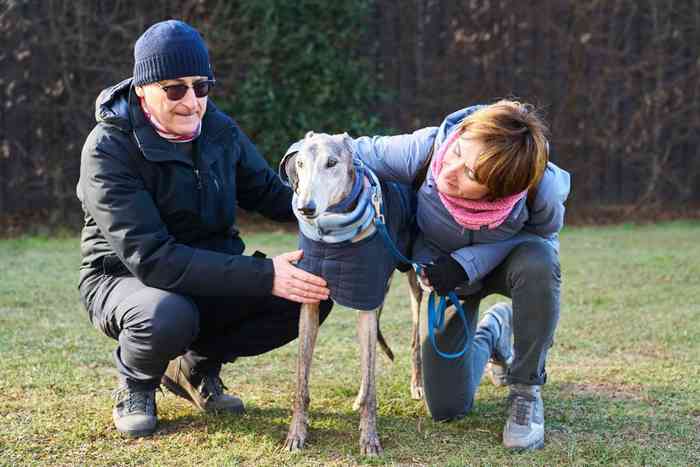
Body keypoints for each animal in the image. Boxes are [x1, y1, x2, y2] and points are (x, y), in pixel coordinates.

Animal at [280, 132, 424, 458]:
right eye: (300, 163)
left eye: (332, 163)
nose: (306, 208)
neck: (333, 239)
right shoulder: (310, 301)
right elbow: (301, 380)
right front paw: (296, 434)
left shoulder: (366, 304)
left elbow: (372, 381)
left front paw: (370, 439)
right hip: (379, 290)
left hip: (414, 284)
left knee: (415, 340)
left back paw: (417, 385)